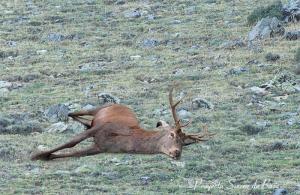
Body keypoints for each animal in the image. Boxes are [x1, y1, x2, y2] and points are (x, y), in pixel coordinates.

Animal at [31, 87, 213, 161]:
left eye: (184, 143)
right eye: (172, 134)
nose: (177, 153)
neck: (129, 140)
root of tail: (122, 105)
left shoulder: (101, 148)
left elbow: (75, 153)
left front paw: (47, 156)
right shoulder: (103, 127)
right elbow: (72, 142)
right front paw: (37, 154)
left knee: (86, 122)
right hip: (100, 108)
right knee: (74, 113)